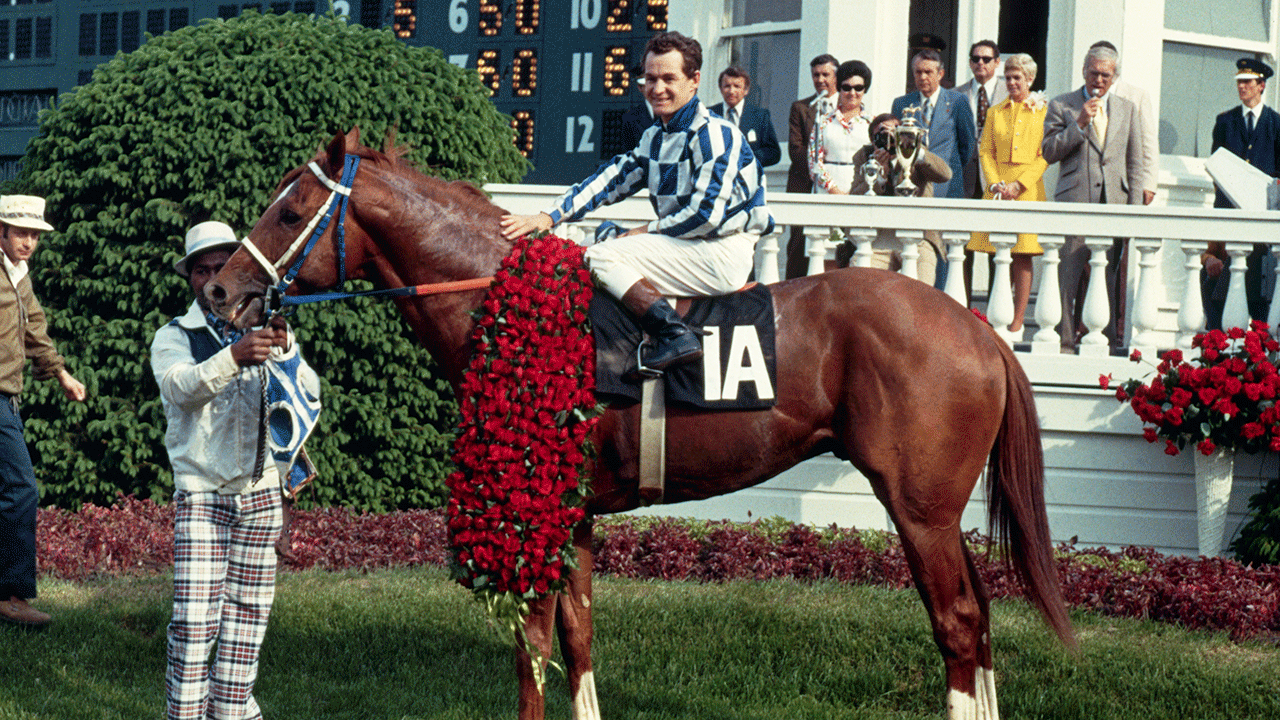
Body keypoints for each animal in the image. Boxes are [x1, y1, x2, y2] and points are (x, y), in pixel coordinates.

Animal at [207, 130, 1070, 717]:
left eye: (290, 209)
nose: (218, 290)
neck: (504, 304)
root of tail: (980, 329)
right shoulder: (578, 512)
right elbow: (578, 638)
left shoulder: (536, 510)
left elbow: (531, 648)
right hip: (939, 509)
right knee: (980, 620)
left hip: (919, 508)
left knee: (958, 622)